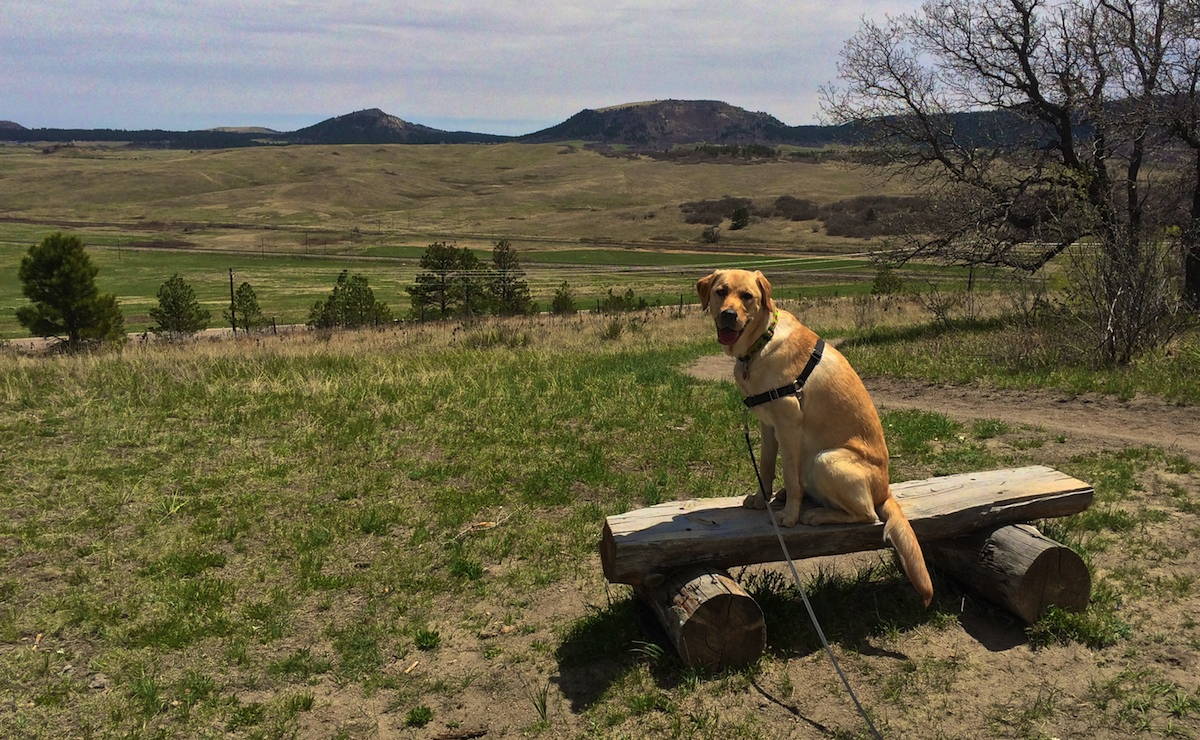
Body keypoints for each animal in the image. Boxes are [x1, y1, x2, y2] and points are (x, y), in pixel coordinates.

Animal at [700, 268, 931, 602]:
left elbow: (788, 473)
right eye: (721, 291)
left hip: (825, 460)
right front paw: (762, 498)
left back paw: (816, 515)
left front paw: (790, 516)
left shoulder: (789, 423)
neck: (760, 343)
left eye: (747, 297)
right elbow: (766, 466)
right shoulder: (768, 425)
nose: (728, 315)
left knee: (867, 514)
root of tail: (885, 490)